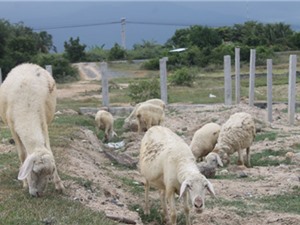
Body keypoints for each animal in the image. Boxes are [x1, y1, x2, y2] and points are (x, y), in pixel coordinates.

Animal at [0, 63, 63, 197]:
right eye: (34, 171)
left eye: (49, 173)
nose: (38, 194)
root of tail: (26, 64)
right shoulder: (13, 128)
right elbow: (22, 155)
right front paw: (24, 183)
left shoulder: (43, 123)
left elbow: (49, 150)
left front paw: (58, 184)